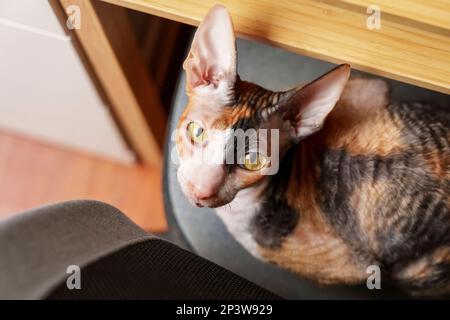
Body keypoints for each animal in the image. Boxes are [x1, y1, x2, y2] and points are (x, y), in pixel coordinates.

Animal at [175, 5, 450, 296]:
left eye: (253, 161)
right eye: (197, 132)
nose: (201, 190)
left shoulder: (350, 267)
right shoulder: (372, 89)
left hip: (419, 271)